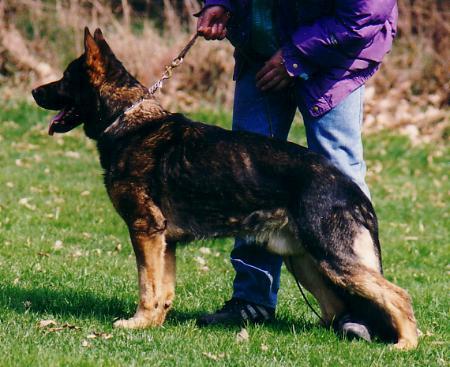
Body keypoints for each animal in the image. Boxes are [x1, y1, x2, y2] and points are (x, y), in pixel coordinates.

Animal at [31, 28, 418, 350]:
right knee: (336, 306)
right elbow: (163, 290)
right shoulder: (164, 242)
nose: (34, 91)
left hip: (332, 259)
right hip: (304, 262)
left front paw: (137, 323)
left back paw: (406, 345)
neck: (126, 121)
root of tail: (350, 188)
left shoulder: (145, 231)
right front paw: (154, 323)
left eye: (65, 78)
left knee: (398, 296)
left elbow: (146, 285)